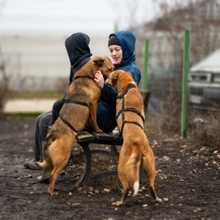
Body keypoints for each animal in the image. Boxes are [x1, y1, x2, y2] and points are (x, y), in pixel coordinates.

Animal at [36, 55, 113, 195]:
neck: (89, 74)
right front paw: (97, 129)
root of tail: (52, 135)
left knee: (51, 173)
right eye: (110, 69)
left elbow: (90, 120)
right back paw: (52, 192)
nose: (111, 81)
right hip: (63, 158)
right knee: (53, 174)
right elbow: (94, 120)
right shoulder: (93, 104)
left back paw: (54, 187)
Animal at [105, 70, 162, 206]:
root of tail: (138, 145)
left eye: (109, 76)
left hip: (121, 168)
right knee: (151, 186)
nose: (105, 80)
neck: (128, 87)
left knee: (126, 188)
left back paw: (120, 202)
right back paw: (156, 199)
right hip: (152, 168)